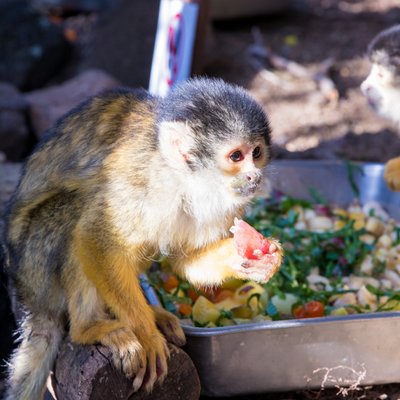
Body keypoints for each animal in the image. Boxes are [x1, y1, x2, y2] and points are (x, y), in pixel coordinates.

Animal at [4, 76, 282, 398]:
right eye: (236, 156)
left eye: (257, 152)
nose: (254, 177)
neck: (186, 180)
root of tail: (27, 293)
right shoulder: (142, 182)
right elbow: (94, 238)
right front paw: (146, 335)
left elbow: (185, 260)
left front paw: (256, 258)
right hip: (36, 265)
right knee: (77, 213)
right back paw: (89, 327)